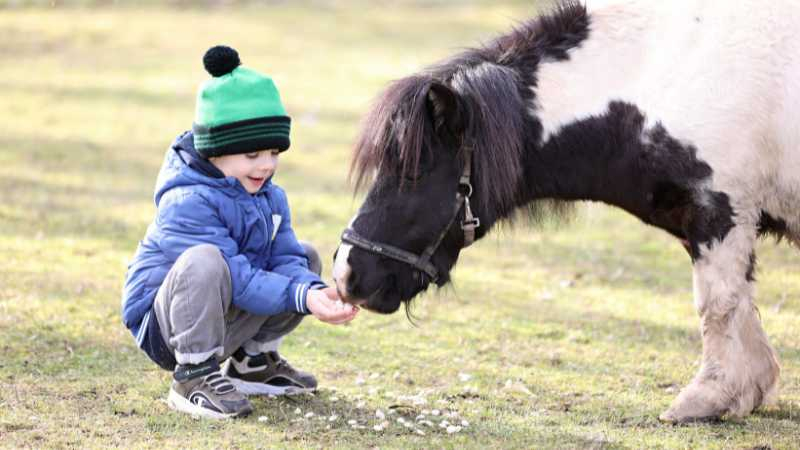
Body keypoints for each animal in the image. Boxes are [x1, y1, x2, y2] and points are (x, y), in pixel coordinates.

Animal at [328, 0, 796, 424]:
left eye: (413, 172)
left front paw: (707, 397)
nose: (347, 274)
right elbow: (739, 305)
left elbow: (717, 304)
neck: (667, 74)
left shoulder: (719, 212)